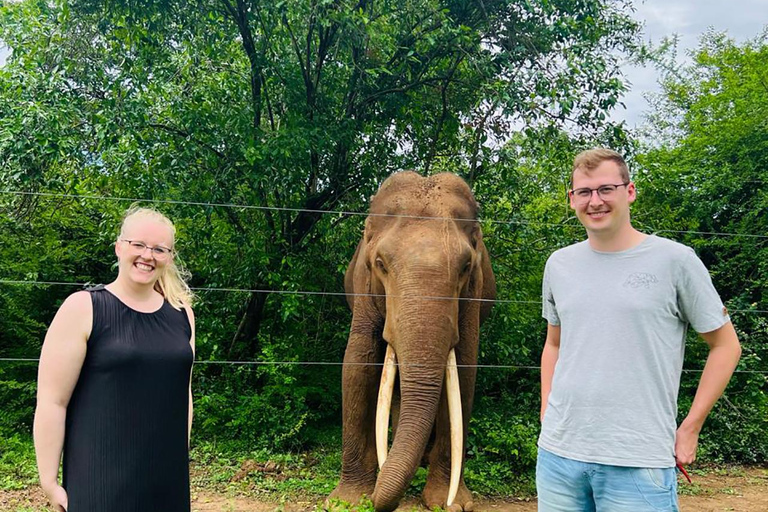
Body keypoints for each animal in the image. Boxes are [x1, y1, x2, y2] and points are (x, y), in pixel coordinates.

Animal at [330, 172, 498, 512]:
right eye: (380, 263)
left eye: (465, 267)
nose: (378, 497)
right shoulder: (364, 284)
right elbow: (358, 365)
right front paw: (347, 502)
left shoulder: (472, 293)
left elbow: (464, 371)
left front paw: (451, 504)